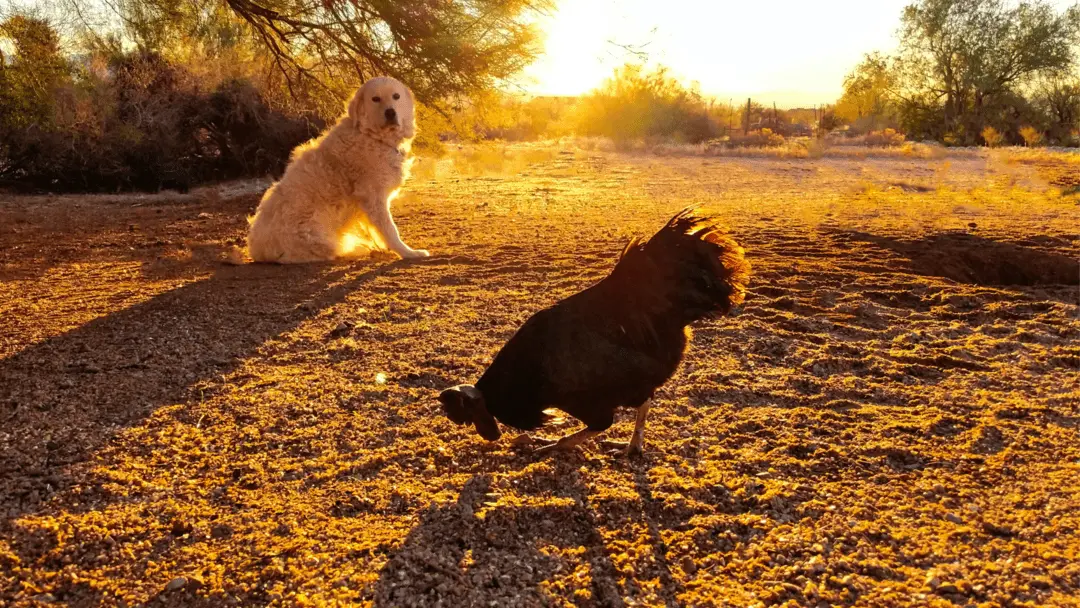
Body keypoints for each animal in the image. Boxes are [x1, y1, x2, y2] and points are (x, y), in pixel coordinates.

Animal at [246, 75, 429, 261]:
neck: (372, 136)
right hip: (315, 229)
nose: (390, 112)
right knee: (329, 251)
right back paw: (358, 248)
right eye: (375, 99)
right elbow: (390, 229)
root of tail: (257, 250)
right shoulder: (373, 196)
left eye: (396, 96)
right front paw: (408, 252)